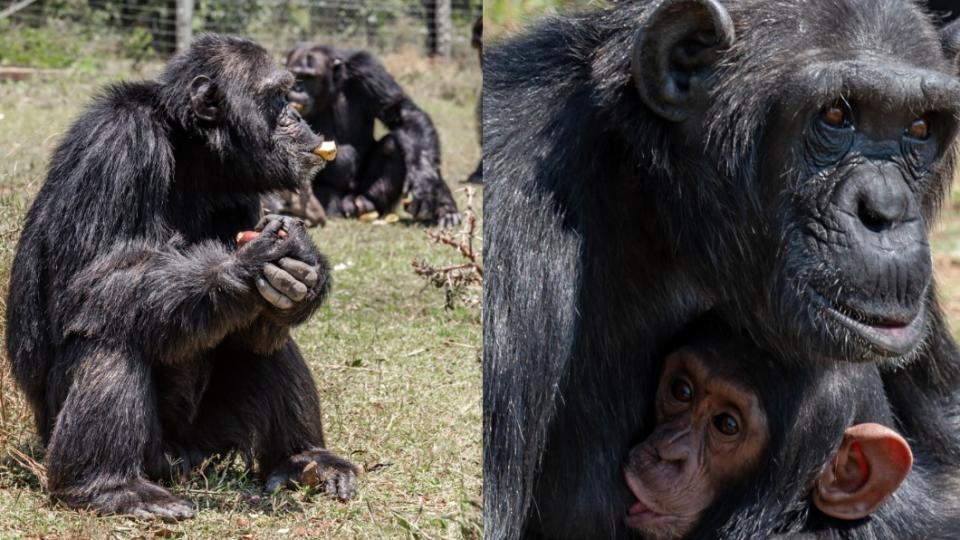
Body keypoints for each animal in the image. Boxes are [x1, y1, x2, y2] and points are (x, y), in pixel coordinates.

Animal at [4, 32, 360, 520]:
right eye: (274, 96)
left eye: (288, 94)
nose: (295, 116)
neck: (192, 148)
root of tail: (184, 461)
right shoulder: (117, 145)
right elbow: (84, 284)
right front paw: (238, 268)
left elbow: (256, 316)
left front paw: (306, 269)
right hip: (148, 455)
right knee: (109, 333)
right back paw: (107, 487)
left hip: (212, 440)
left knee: (266, 341)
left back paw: (305, 459)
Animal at [284, 43, 460, 227]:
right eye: (296, 76)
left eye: (309, 77)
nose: (297, 88)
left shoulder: (367, 70)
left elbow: (403, 113)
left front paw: (425, 183)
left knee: (392, 145)